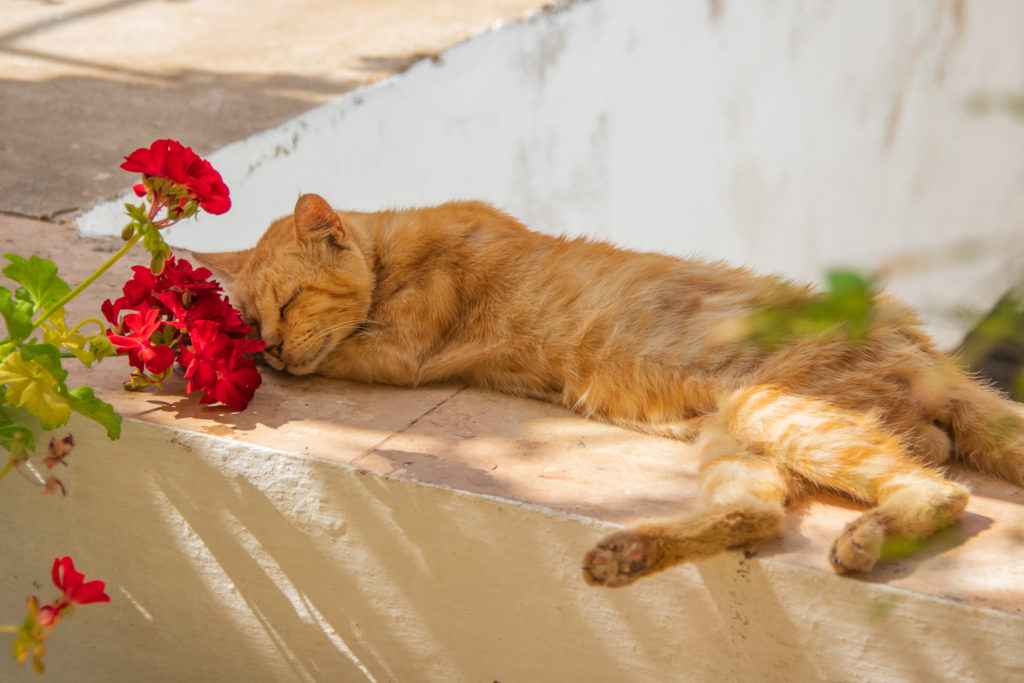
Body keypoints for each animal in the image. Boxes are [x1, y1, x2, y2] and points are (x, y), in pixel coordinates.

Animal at [193, 192, 1024, 589]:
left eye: (291, 302)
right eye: (256, 316)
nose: (269, 345)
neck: (394, 245)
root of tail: (918, 341)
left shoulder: (402, 353)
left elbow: (345, 353)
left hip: (774, 406)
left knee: (942, 491)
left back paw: (865, 538)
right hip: (737, 433)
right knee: (758, 514)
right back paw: (627, 554)